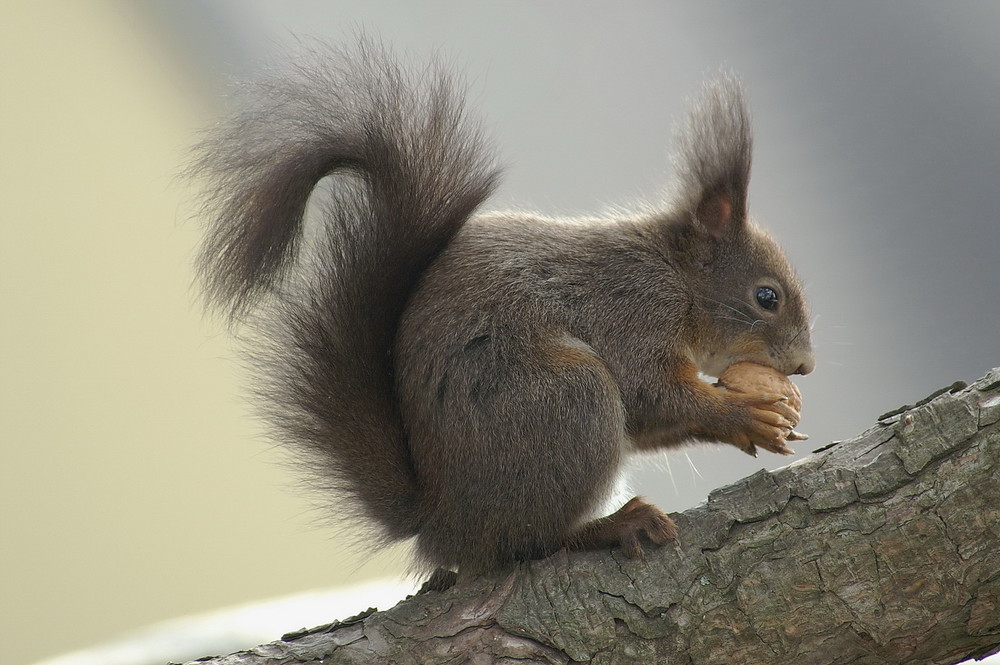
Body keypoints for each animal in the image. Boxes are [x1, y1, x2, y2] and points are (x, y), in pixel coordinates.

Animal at [193, 44, 812, 580]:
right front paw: (745, 414)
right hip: (570, 401)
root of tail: (443, 526)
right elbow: (649, 392)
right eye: (767, 297)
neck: (675, 278)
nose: (805, 365)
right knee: (527, 543)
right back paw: (612, 526)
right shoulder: (630, 309)